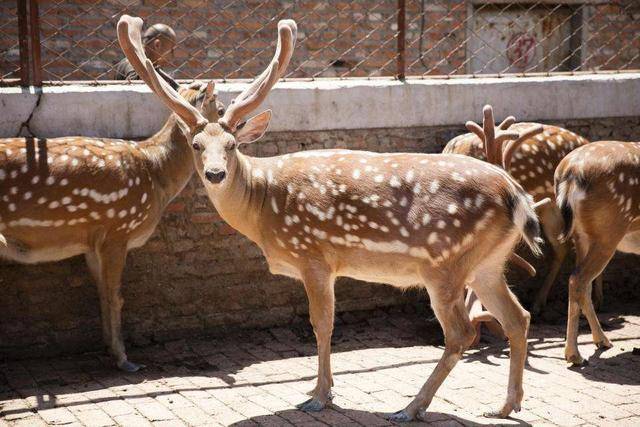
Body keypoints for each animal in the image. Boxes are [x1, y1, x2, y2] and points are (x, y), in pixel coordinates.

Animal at [0, 59, 225, 372]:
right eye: (220, 108)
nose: (238, 122)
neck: (156, 176)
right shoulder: (117, 230)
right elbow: (115, 296)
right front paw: (124, 359)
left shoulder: (91, 242)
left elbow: (102, 294)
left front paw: (109, 348)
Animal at [119, 14, 540, 422]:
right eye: (196, 145)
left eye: (233, 145)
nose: (215, 174)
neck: (264, 204)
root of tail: (517, 195)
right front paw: (320, 390)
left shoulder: (313, 255)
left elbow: (321, 325)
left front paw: (319, 397)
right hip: (487, 262)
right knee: (518, 317)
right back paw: (506, 405)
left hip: (444, 263)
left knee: (461, 333)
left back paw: (410, 407)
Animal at [556, 140, 640, 364]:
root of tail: (571, 171)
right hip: (608, 232)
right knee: (578, 279)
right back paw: (574, 354)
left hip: (581, 235)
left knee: (581, 282)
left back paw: (601, 340)